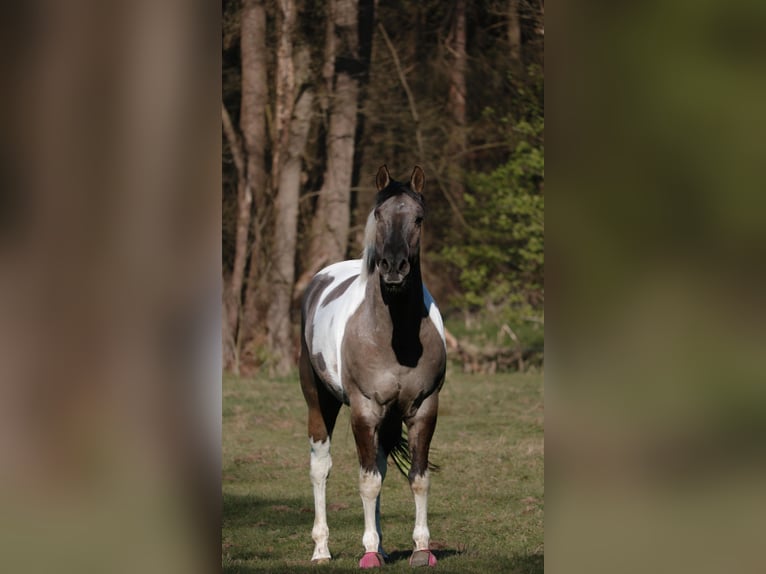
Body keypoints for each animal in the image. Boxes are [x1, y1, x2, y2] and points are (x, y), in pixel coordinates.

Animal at [299, 165, 447, 568]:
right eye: (379, 215)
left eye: (418, 218)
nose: (393, 267)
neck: (395, 338)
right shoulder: (364, 410)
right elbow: (367, 481)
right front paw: (367, 554)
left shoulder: (423, 408)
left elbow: (417, 478)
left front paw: (421, 549)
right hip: (319, 402)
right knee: (321, 467)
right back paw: (322, 550)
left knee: (379, 467)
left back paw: (379, 545)